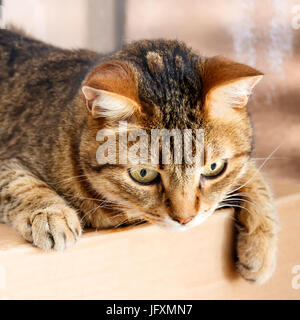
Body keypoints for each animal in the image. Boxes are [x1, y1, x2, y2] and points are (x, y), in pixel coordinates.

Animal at [0, 28, 276, 284]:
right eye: (143, 174)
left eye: (214, 168)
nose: (185, 219)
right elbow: (19, 183)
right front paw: (51, 215)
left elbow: (251, 175)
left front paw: (261, 241)